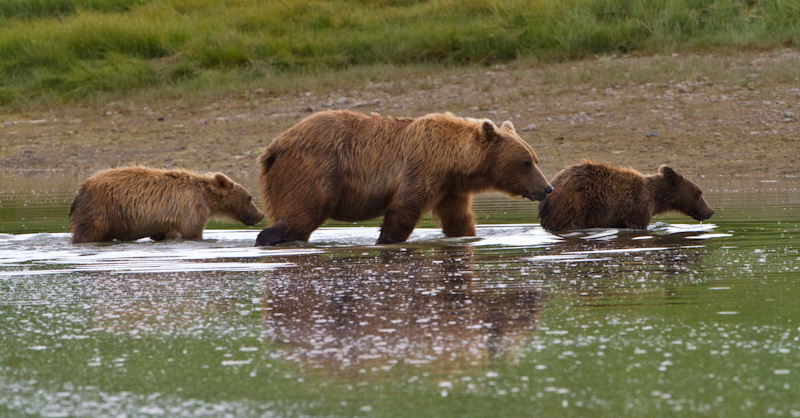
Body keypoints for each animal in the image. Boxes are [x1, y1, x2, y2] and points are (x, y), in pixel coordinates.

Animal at [70, 167, 264, 243]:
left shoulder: (168, 220)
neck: (207, 198)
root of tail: (81, 189)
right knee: (88, 231)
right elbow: (192, 232)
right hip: (100, 210)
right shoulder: (191, 208)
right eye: (249, 197)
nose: (261, 215)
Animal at [255, 110, 552, 245]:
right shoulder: (421, 169)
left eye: (534, 159)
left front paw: (467, 236)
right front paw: (385, 240)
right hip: (314, 171)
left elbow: (459, 220)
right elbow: (403, 212)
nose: (547, 187)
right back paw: (266, 238)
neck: (452, 162)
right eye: (526, 162)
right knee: (300, 216)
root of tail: (273, 148)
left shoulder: (449, 189)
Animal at [536, 161, 712, 232]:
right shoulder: (637, 206)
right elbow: (638, 224)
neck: (656, 199)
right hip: (574, 205)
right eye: (700, 193)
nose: (711, 211)